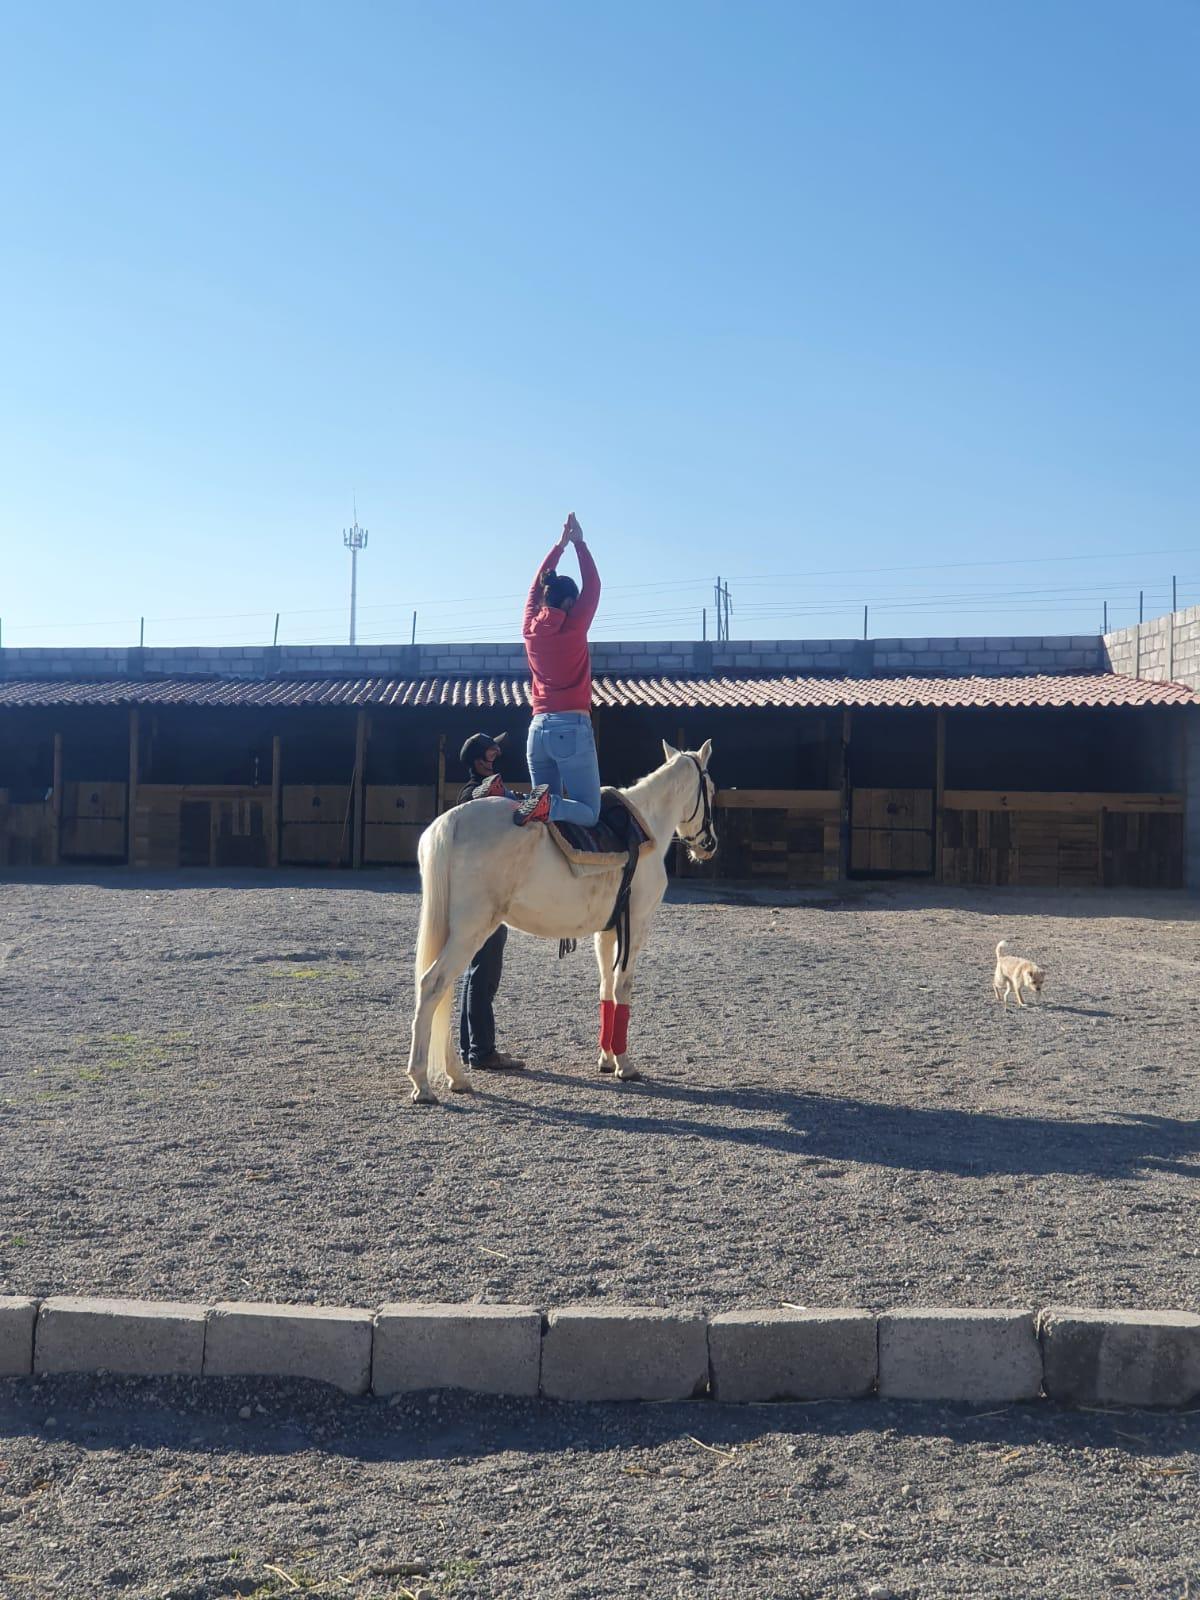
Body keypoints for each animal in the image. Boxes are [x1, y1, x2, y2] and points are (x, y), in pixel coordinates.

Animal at [409, 742, 720, 1107]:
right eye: (710, 789)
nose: (709, 845)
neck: (647, 827)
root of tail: (451, 822)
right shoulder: (637, 926)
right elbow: (623, 988)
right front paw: (624, 1065)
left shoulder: (607, 931)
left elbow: (606, 989)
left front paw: (606, 1059)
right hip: (469, 933)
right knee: (432, 986)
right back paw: (423, 1083)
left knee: (443, 992)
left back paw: (456, 1077)